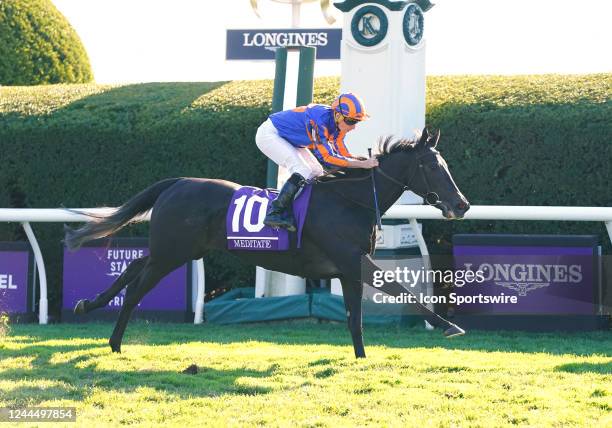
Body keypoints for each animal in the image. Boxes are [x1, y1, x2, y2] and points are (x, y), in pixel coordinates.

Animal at [65, 129, 468, 356]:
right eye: (433, 167)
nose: (461, 204)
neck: (349, 201)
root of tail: (177, 182)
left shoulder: (349, 268)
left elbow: (355, 319)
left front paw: (361, 359)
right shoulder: (353, 261)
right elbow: (400, 288)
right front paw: (448, 326)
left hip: (179, 250)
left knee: (134, 265)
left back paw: (88, 306)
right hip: (172, 253)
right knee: (136, 289)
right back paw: (114, 341)